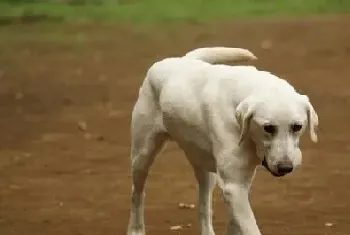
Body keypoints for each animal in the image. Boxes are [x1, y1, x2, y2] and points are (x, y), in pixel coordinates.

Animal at [127, 47, 318, 235]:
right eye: (268, 128)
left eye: (297, 127)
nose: (285, 167)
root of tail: (182, 59)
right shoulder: (234, 187)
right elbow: (251, 229)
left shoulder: (240, 185)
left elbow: (235, 224)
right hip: (142, 156)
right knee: (137, 194)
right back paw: (135, 230)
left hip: (205, 168)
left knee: (204, 208)